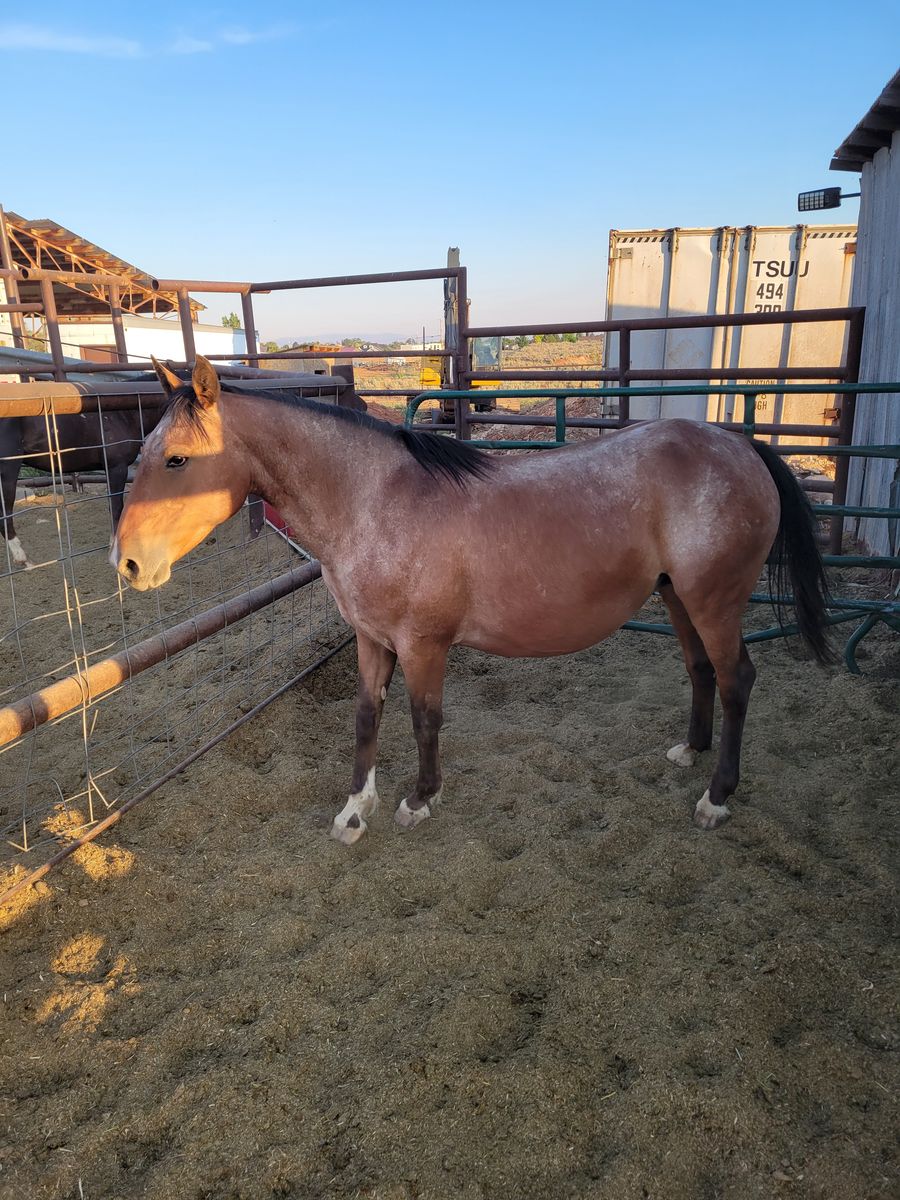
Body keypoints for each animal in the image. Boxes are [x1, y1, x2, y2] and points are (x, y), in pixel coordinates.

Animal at [112, 356, 831, 838]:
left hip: (715, 602)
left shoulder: (423, 644)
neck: (374, 500)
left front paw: (419, 800)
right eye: (146, 450)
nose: (128, 563)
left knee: (736, 680)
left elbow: (424, 719)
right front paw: (354, 811)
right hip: (680, 598)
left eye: (176, 460)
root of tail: (739, 446)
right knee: (701, 669)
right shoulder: (372, 640)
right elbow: (366, 719)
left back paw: (716, 796)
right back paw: (690, 753)